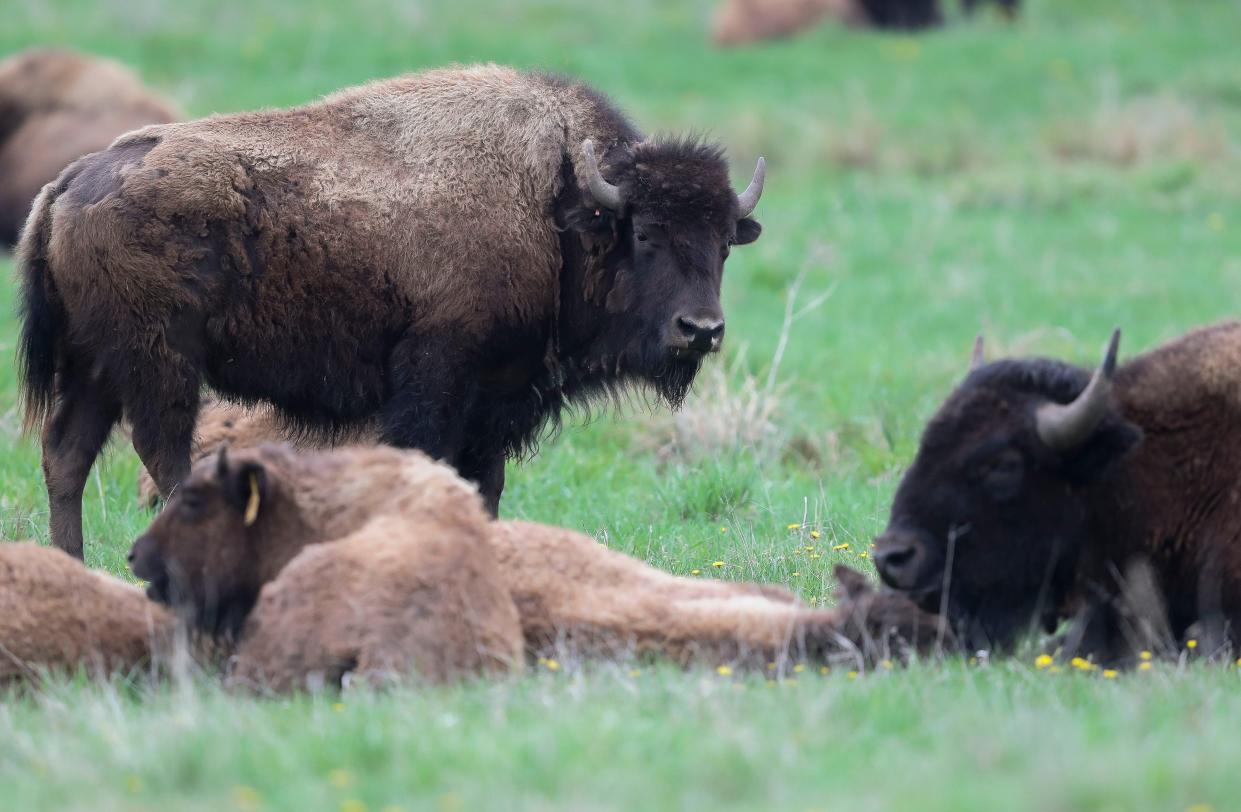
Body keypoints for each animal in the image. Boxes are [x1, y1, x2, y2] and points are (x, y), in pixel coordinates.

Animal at [19, 65, 764, 561]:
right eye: (646, 234)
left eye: (726, 240)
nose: (701, 330)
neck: (558, 207)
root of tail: (71, 181)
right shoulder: (437, 378)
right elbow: (427, 464)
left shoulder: (493, 405)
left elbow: (483, 486)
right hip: (158, 365)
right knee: (164, 456)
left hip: (94, 367)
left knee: (67, 454)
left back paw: (73, 565)